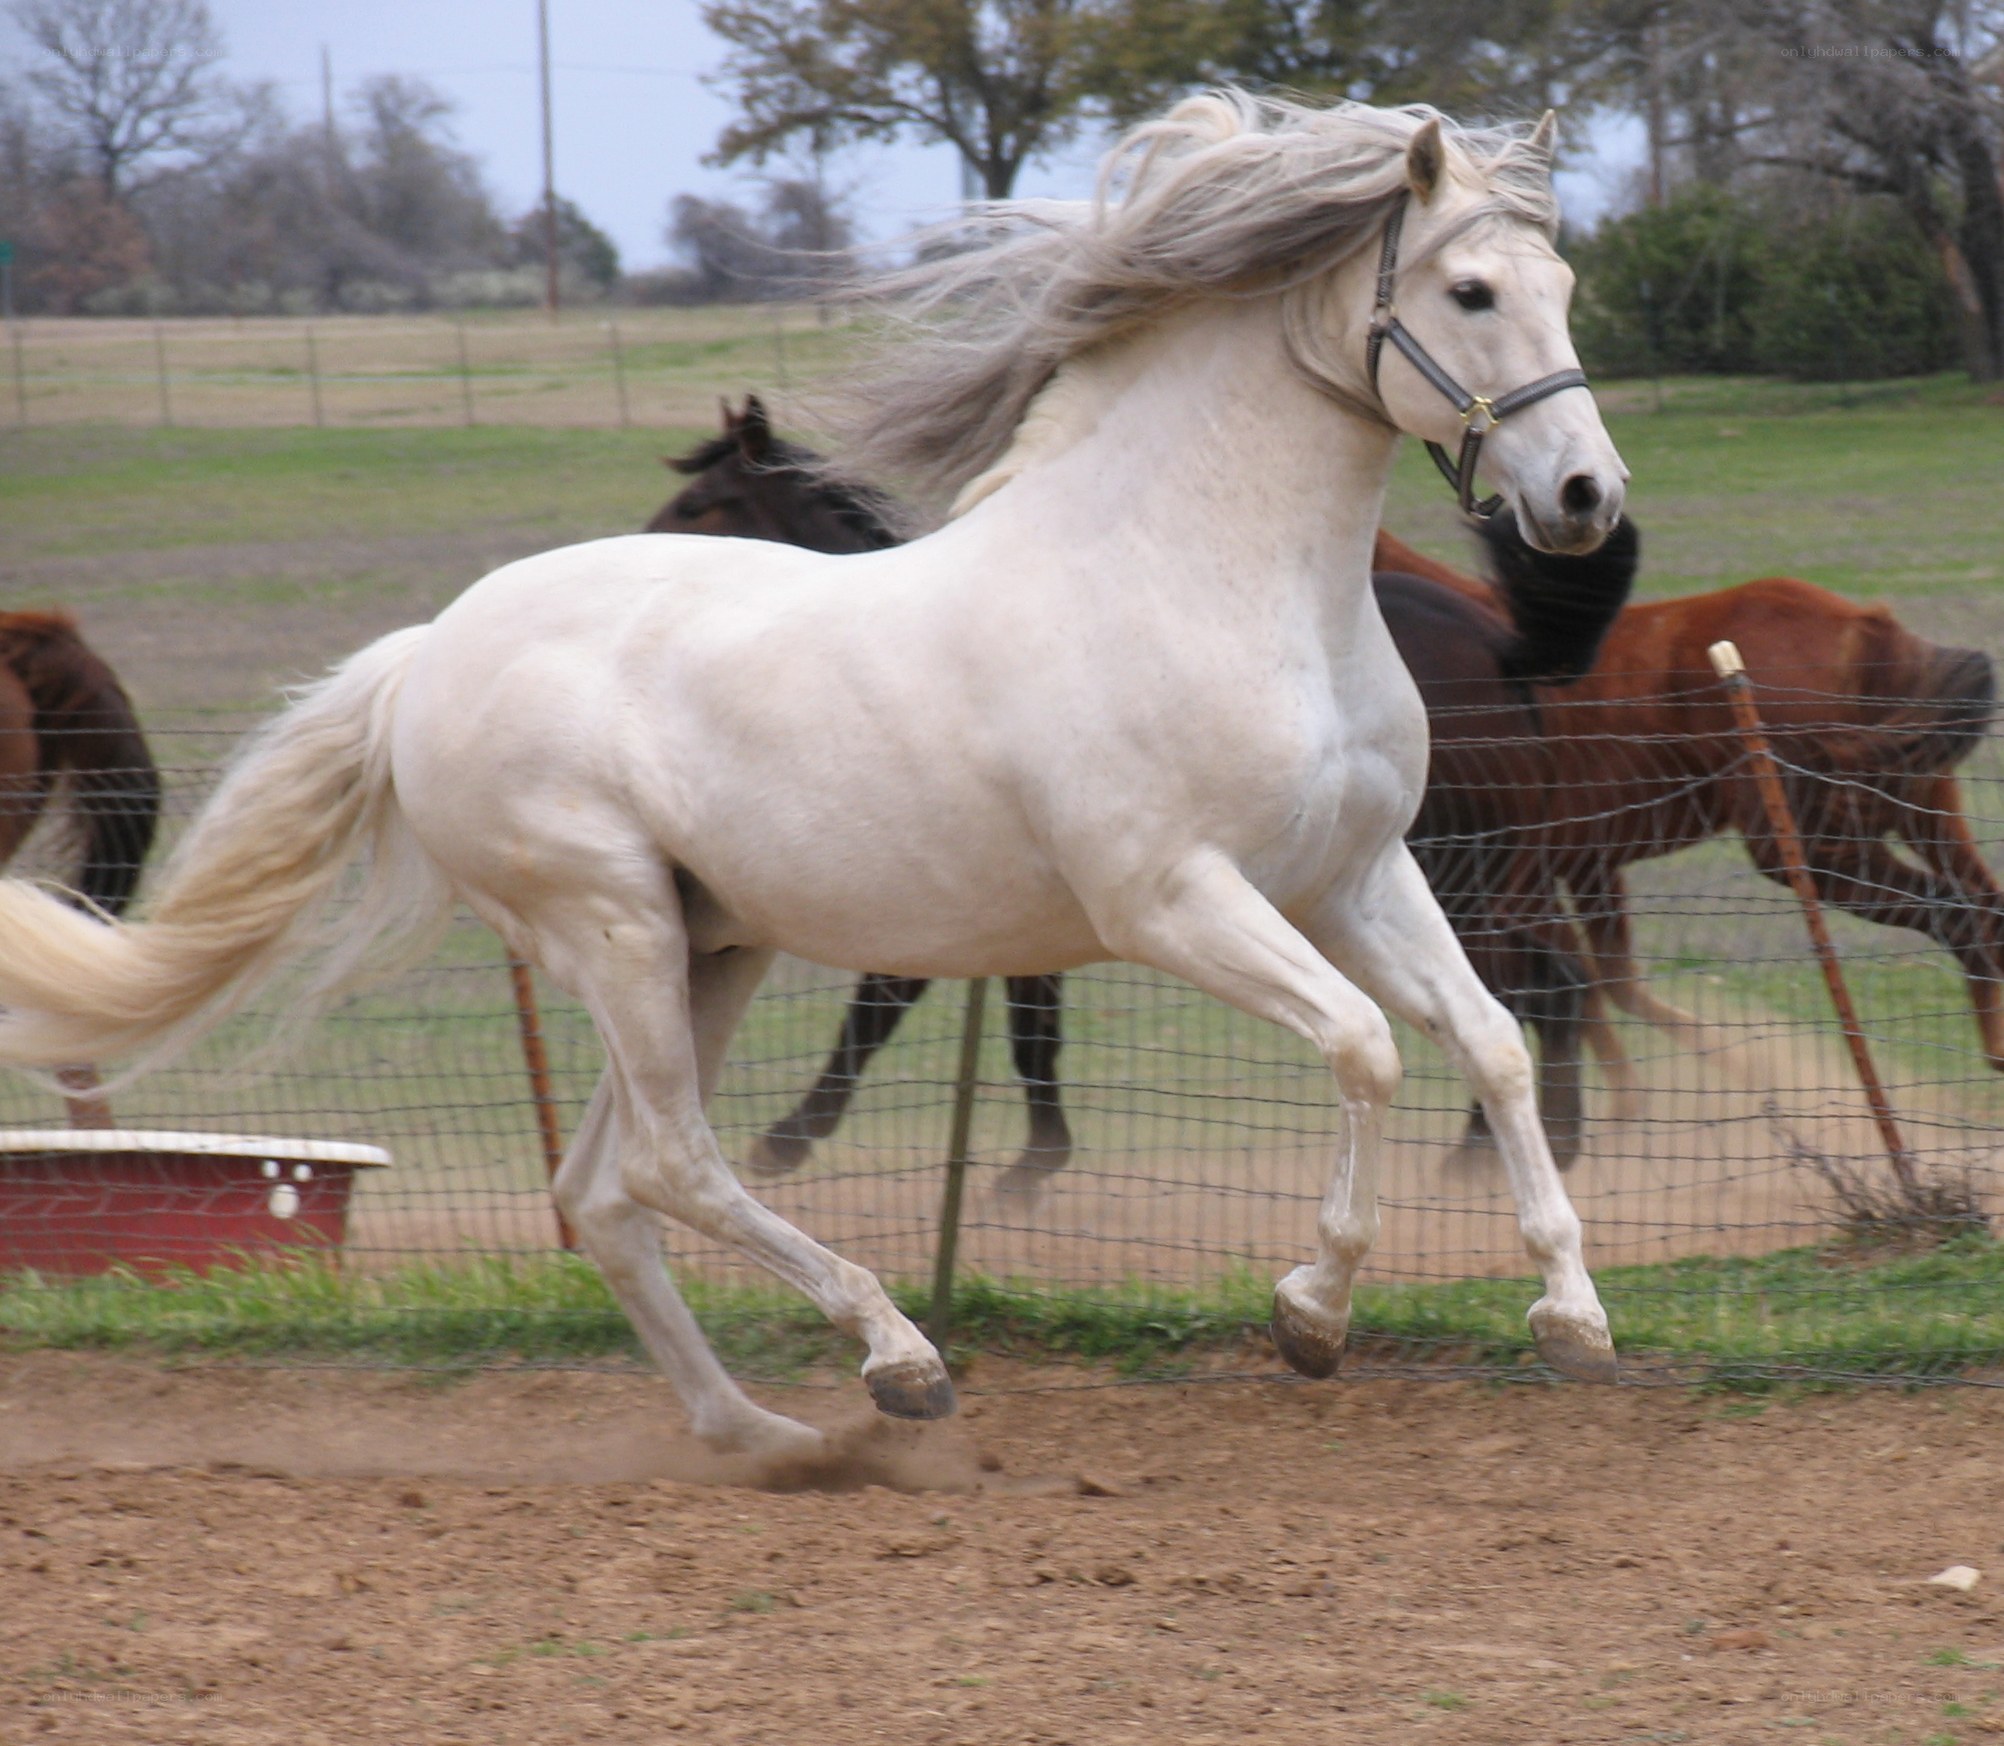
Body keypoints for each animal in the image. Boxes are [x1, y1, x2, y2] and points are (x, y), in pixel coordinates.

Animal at [651, 397, 1639, 1173]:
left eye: (700, 502)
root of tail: (1508, 649)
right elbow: (1022, 1022)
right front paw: (1035, 1157)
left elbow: (899, 1010)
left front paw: (795, 1140)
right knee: (1544, 992)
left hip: (1454, 886)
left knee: (1535, 992)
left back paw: (1493, 1156)